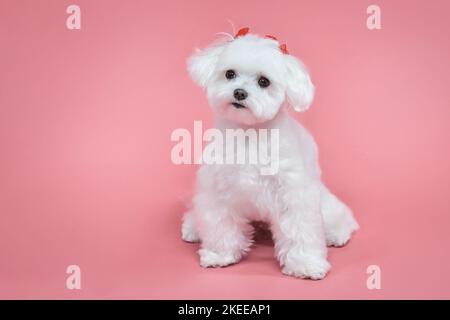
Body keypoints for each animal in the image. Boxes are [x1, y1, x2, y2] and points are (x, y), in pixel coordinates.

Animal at [181, 28, 356, 280]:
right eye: (230, 74)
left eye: (264, 81)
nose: (239, 92)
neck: (249, 135)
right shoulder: (217, 192)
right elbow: (220, 225)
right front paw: (220, 254)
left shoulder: (294, 194)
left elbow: (300, 230)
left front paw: (305, 263)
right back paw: (193, 227)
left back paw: (338, 233)